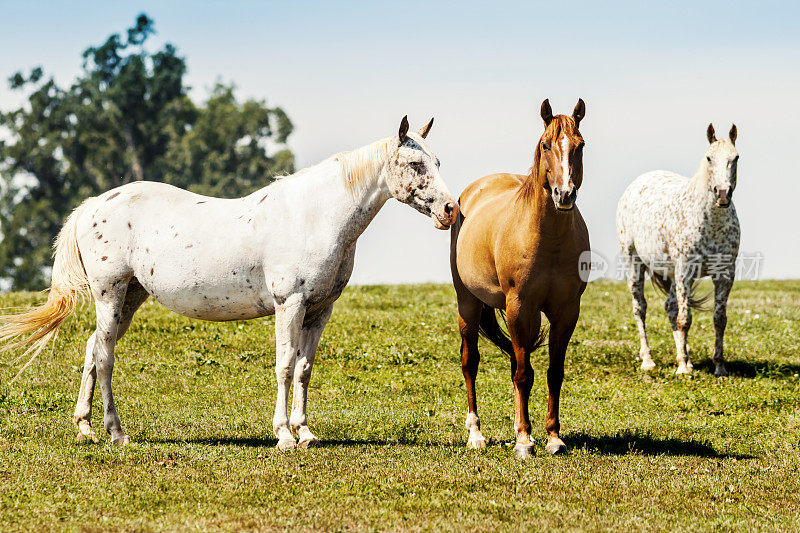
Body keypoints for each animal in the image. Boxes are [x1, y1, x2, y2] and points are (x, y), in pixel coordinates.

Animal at [450, 100, 588, 458]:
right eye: (546, 145)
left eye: (580, 145)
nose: (564, 195)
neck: (548, 238)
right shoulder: (519, 305)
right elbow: (524, 374)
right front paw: (525, 442)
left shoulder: (566, 311)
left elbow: (554, 372)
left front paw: (552, 437)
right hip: (469, 304)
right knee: (471, 363)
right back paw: (475, 434)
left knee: (515, 360)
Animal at [616, 122, 740, 376]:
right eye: (709, 158)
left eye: (735, 158)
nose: (723, 194)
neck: (711, 222)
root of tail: (637, 183)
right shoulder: (686, 271)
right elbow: (685, 319)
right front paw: (682, 369)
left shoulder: (725, 274)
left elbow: (719, 319)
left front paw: (718, 367)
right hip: (635, 264)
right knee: (640, 308)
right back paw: (648, 360)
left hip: (672, 273)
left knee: (670, 307)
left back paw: (687, 359)